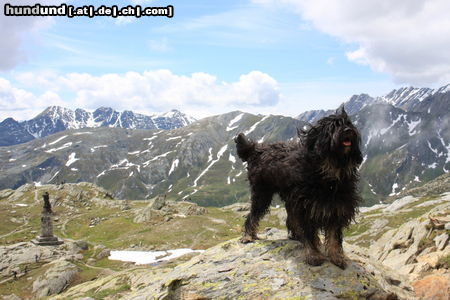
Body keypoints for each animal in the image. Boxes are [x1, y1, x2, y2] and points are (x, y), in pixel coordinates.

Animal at [236, 106, 362, 270]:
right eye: (333, 127)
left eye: (349, 123)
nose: (348, 130)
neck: (329, 173)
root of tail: (257, 149)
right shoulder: (305, 207)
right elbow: (309, 233)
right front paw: (314, 255)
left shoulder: (337, 207)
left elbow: (333, 235)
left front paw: (336, 256)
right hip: (262, 193)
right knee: (253, 215)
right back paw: (248, 235)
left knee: (290, 219)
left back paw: (295, 235)